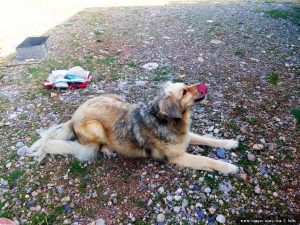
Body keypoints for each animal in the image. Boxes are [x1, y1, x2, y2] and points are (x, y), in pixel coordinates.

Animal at [27, 81, 239, 175]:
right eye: (185, 92)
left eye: (187, 86)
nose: (204, 85)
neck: (168, 120)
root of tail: (73, 117)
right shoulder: (177, 157)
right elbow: (207, 160)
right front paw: (229, 167)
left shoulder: (186, 137)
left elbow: (207, 138)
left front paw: (230, 143)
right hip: (95, 126)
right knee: (96, 146)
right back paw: (108, 150)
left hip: (115, 96)